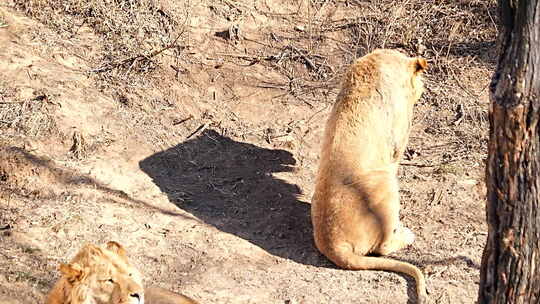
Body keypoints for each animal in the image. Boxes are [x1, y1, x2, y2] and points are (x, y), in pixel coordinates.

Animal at [310, 48, 428, 302]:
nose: (423, 89)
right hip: (387, 185)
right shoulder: (398, 142)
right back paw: (406, 234)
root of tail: (334, 244)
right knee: (382, 248)